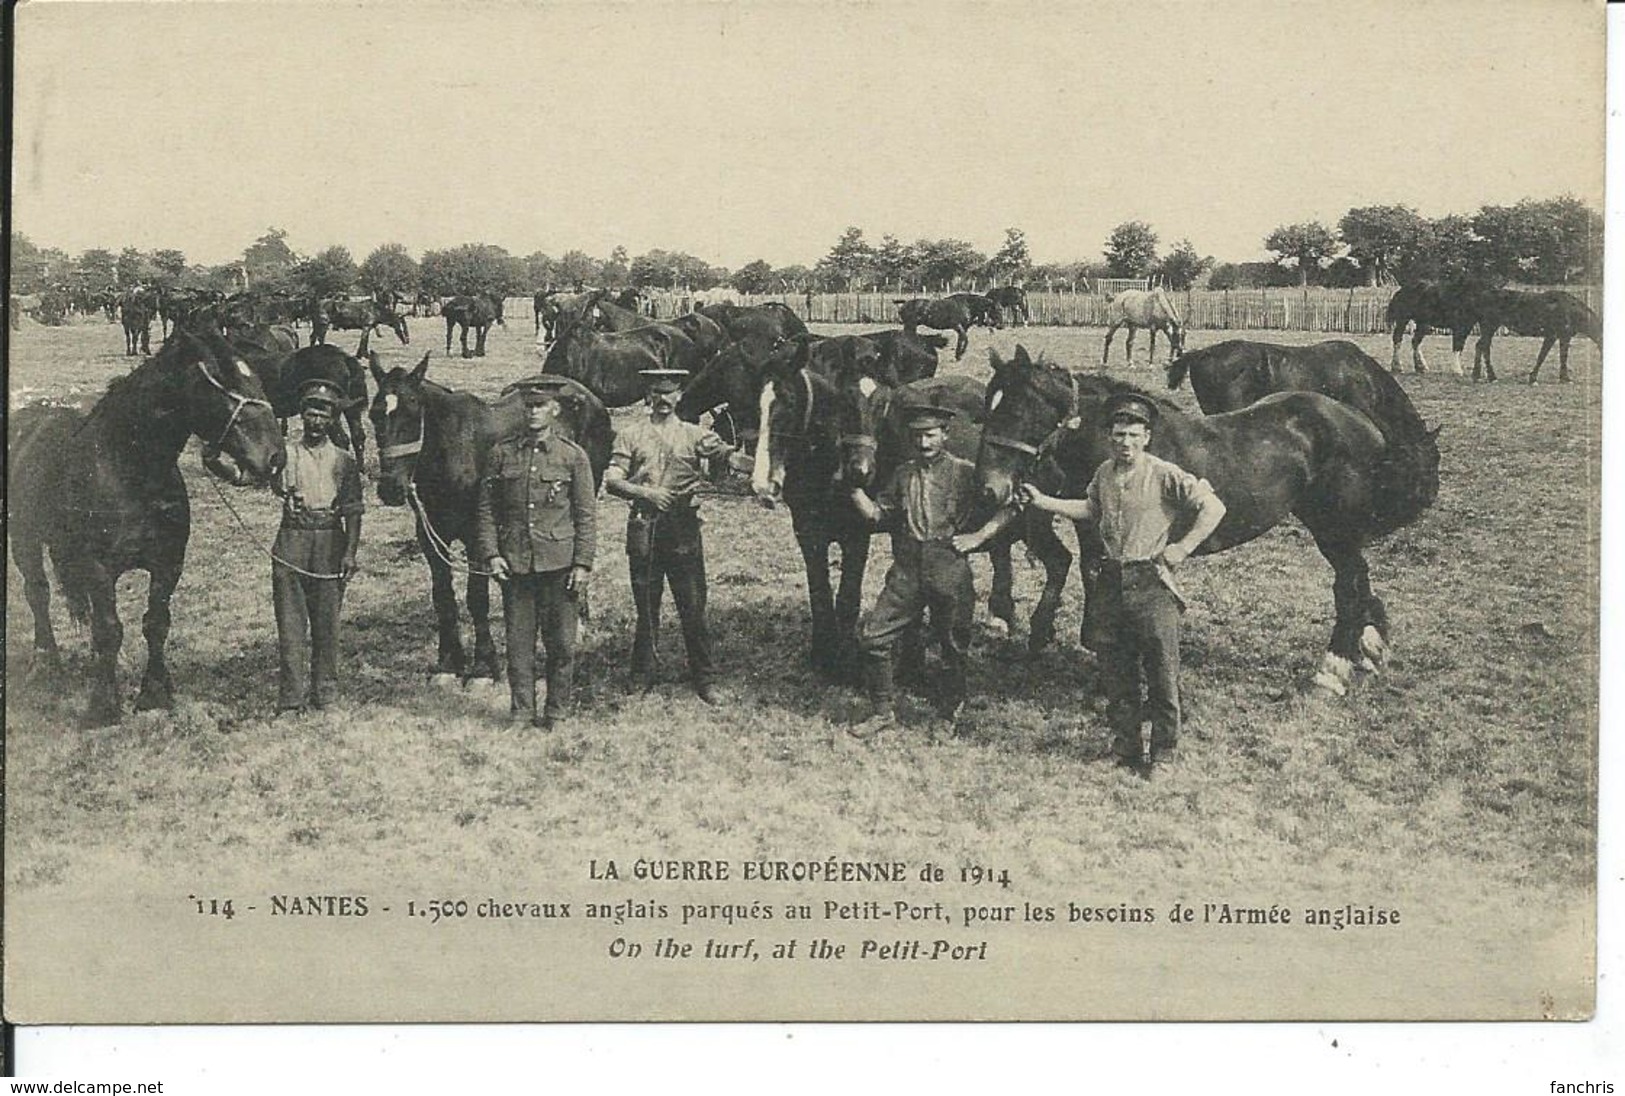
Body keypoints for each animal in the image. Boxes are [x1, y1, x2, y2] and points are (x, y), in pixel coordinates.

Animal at [9, 328, 287, 721]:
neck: (129, 468)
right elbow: (109, 629)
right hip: (25, 541)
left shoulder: (168, 563)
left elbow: (155, 624)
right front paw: (104, 705)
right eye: (223, 380)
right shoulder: (98, 567)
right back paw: (45, 662)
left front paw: (154, 693)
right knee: (38, 593)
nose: (275, 457)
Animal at [365, 354, 611, 679]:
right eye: (374, 414)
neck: (452, 452)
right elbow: (443, 597)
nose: (390, 488)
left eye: (412, 410)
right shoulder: (431, 537)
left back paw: (578, 622)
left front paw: (484, 663)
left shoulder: (476, 536)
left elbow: (476, 597)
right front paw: (449, 660)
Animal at [968, 346, 1443, 695]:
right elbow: (1091, 578)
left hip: (1335, 529)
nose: (988, 488)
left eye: (1016, 411)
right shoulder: (1095, 534)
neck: (1125, 446)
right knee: (1359, 582)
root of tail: (1364, 424)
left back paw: (1332, 669)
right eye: (988, 409)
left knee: (1348, 583)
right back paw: (1367, 649)